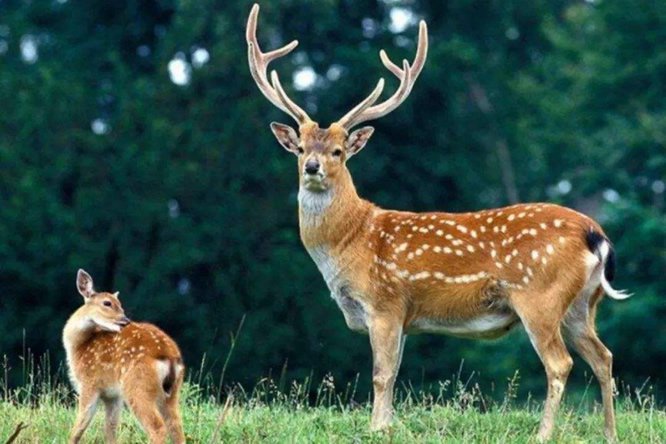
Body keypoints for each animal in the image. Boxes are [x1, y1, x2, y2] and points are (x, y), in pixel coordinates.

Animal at [62, 269, 186, 444]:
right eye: (107, 303)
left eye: (120, 304)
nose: (125, 320)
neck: (78, 346)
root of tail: (169, 356)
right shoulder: (113, 395)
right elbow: (110, 428)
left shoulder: (89, 382)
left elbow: (79, 427)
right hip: (172, 392)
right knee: (176, 426)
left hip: (137, 385)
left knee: (157, 427)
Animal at [246, 3, 631, 442]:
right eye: (300, 148)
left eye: (339, 151)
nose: (312, 167)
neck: (350, 242)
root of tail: (595, 234)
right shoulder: (403, 317)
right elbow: (395, 372)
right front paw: (388, 424)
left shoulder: (385, 302)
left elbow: (381, 375)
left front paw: (376, 428)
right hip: (583, 303)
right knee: (603, 356)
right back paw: (610, 433)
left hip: (539, 295)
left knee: (560, 363)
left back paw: (543, 433)